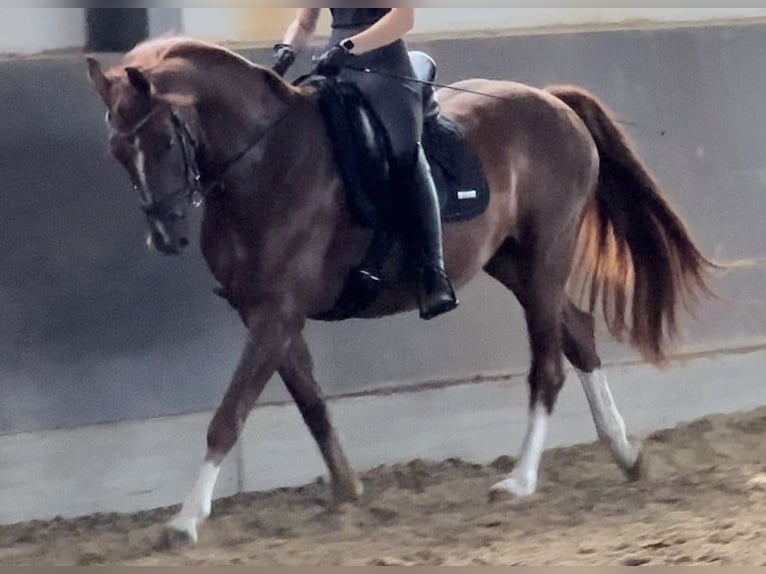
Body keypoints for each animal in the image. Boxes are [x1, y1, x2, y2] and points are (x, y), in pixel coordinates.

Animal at [87, 37, 716, 548]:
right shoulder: (263, 312)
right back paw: (627, 455)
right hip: (512, 262)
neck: (266, 162)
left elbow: (230, 413)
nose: (166, 236)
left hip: (545, 258)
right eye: (117, 150)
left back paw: (520, 481)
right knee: (579, 331)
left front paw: (184, 522)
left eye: (162, 140)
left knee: (549, 367)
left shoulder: (276, 311)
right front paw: (347, 491)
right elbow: (310, 399)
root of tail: (553, 102)